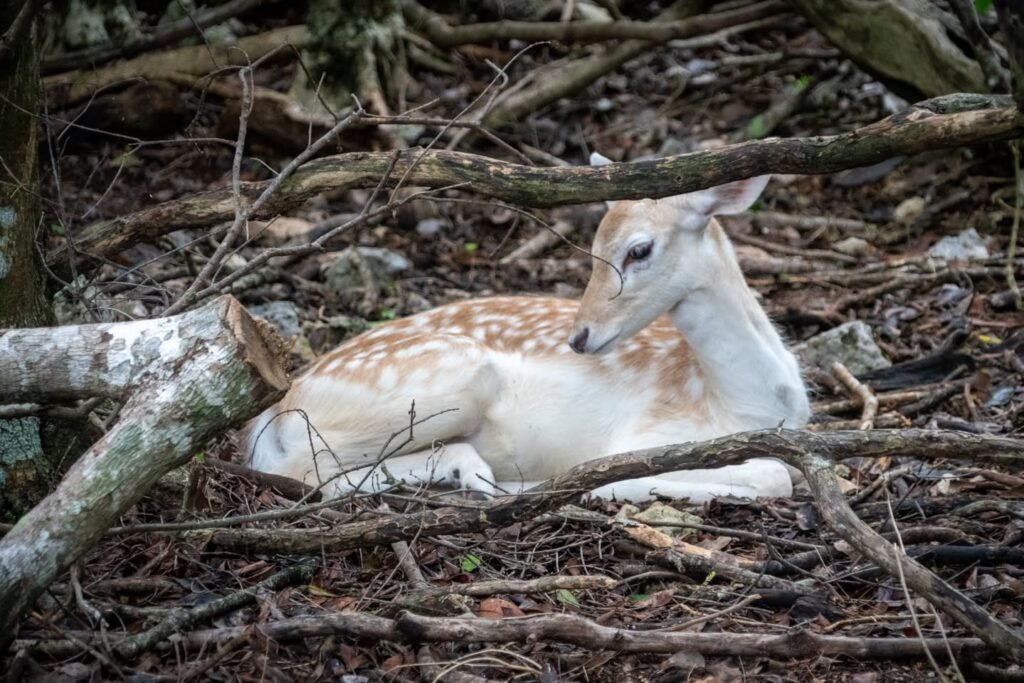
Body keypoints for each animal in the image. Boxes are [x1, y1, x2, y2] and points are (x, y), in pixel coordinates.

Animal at [241, 152, 810, 502]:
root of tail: (272, 413)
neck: (743, 402)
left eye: (639, 249)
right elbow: (776, 474)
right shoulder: (641, 438)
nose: (580, 337)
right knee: (305, 473)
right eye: (593, 247)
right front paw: (605, 488)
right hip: (442, 381)